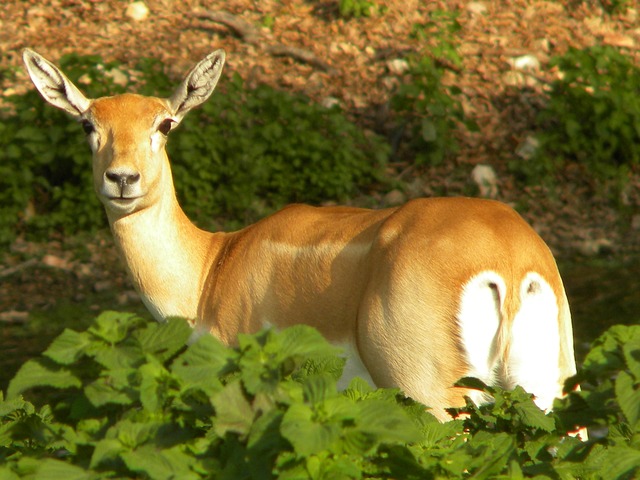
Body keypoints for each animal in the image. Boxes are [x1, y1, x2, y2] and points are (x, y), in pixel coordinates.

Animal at [22, 47, 584, 424]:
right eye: (87, 124)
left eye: (165, 123)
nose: (122, 178)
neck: (210, 271)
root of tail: (509, 262)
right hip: (551, 389)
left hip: (431, 389)